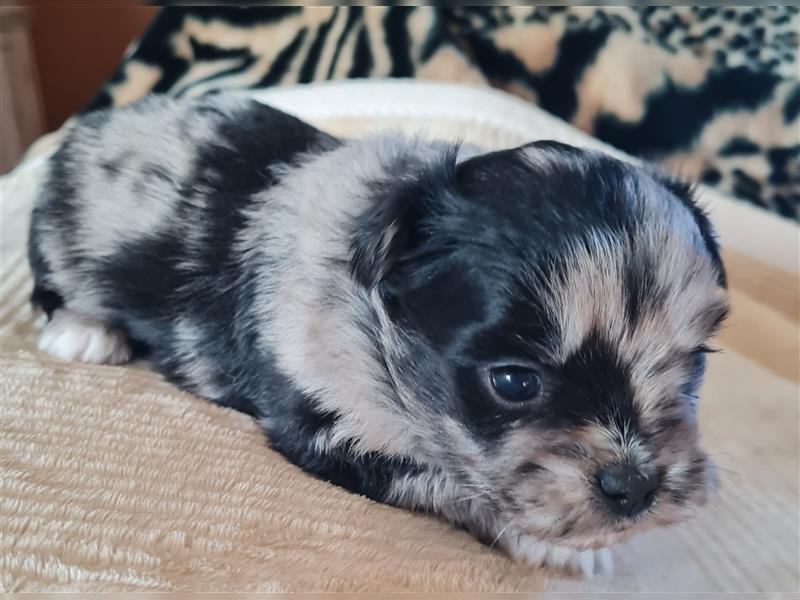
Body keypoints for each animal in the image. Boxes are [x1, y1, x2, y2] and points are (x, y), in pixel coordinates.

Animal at [28, 92, 728, 576]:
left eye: (693, 363)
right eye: (514, 381)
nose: (637, 488)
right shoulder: (332, 427)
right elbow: (450, 483)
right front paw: (562, 548)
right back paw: (84, 331)